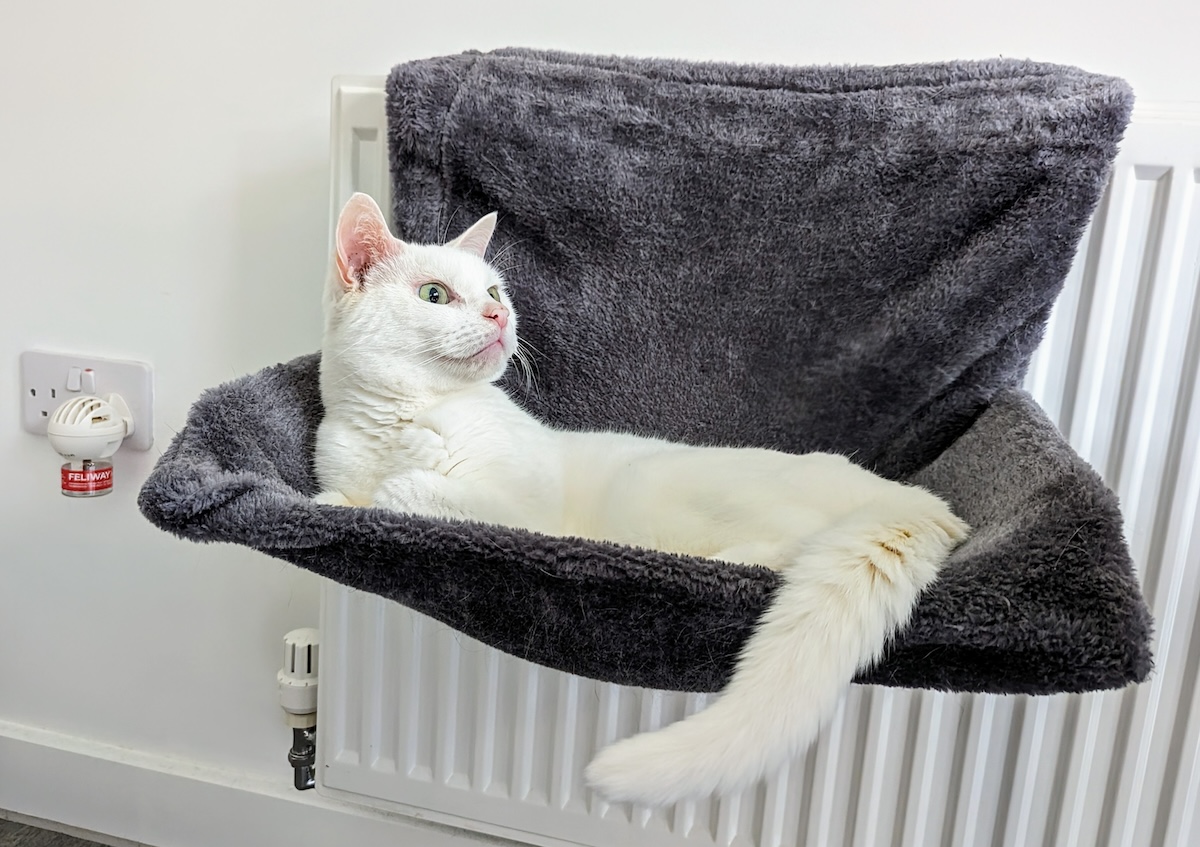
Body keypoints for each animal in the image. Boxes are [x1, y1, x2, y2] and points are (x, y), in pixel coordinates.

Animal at [314, 191, 969, 806]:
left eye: (494, 290)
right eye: (435, 294)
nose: (499, 314)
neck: (402, 419)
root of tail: (910, 497)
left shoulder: (518, 511)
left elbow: (406, 486)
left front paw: (391, 485)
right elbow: (334, 495)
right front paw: (341, 503)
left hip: (663, 486)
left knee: (790, 544)